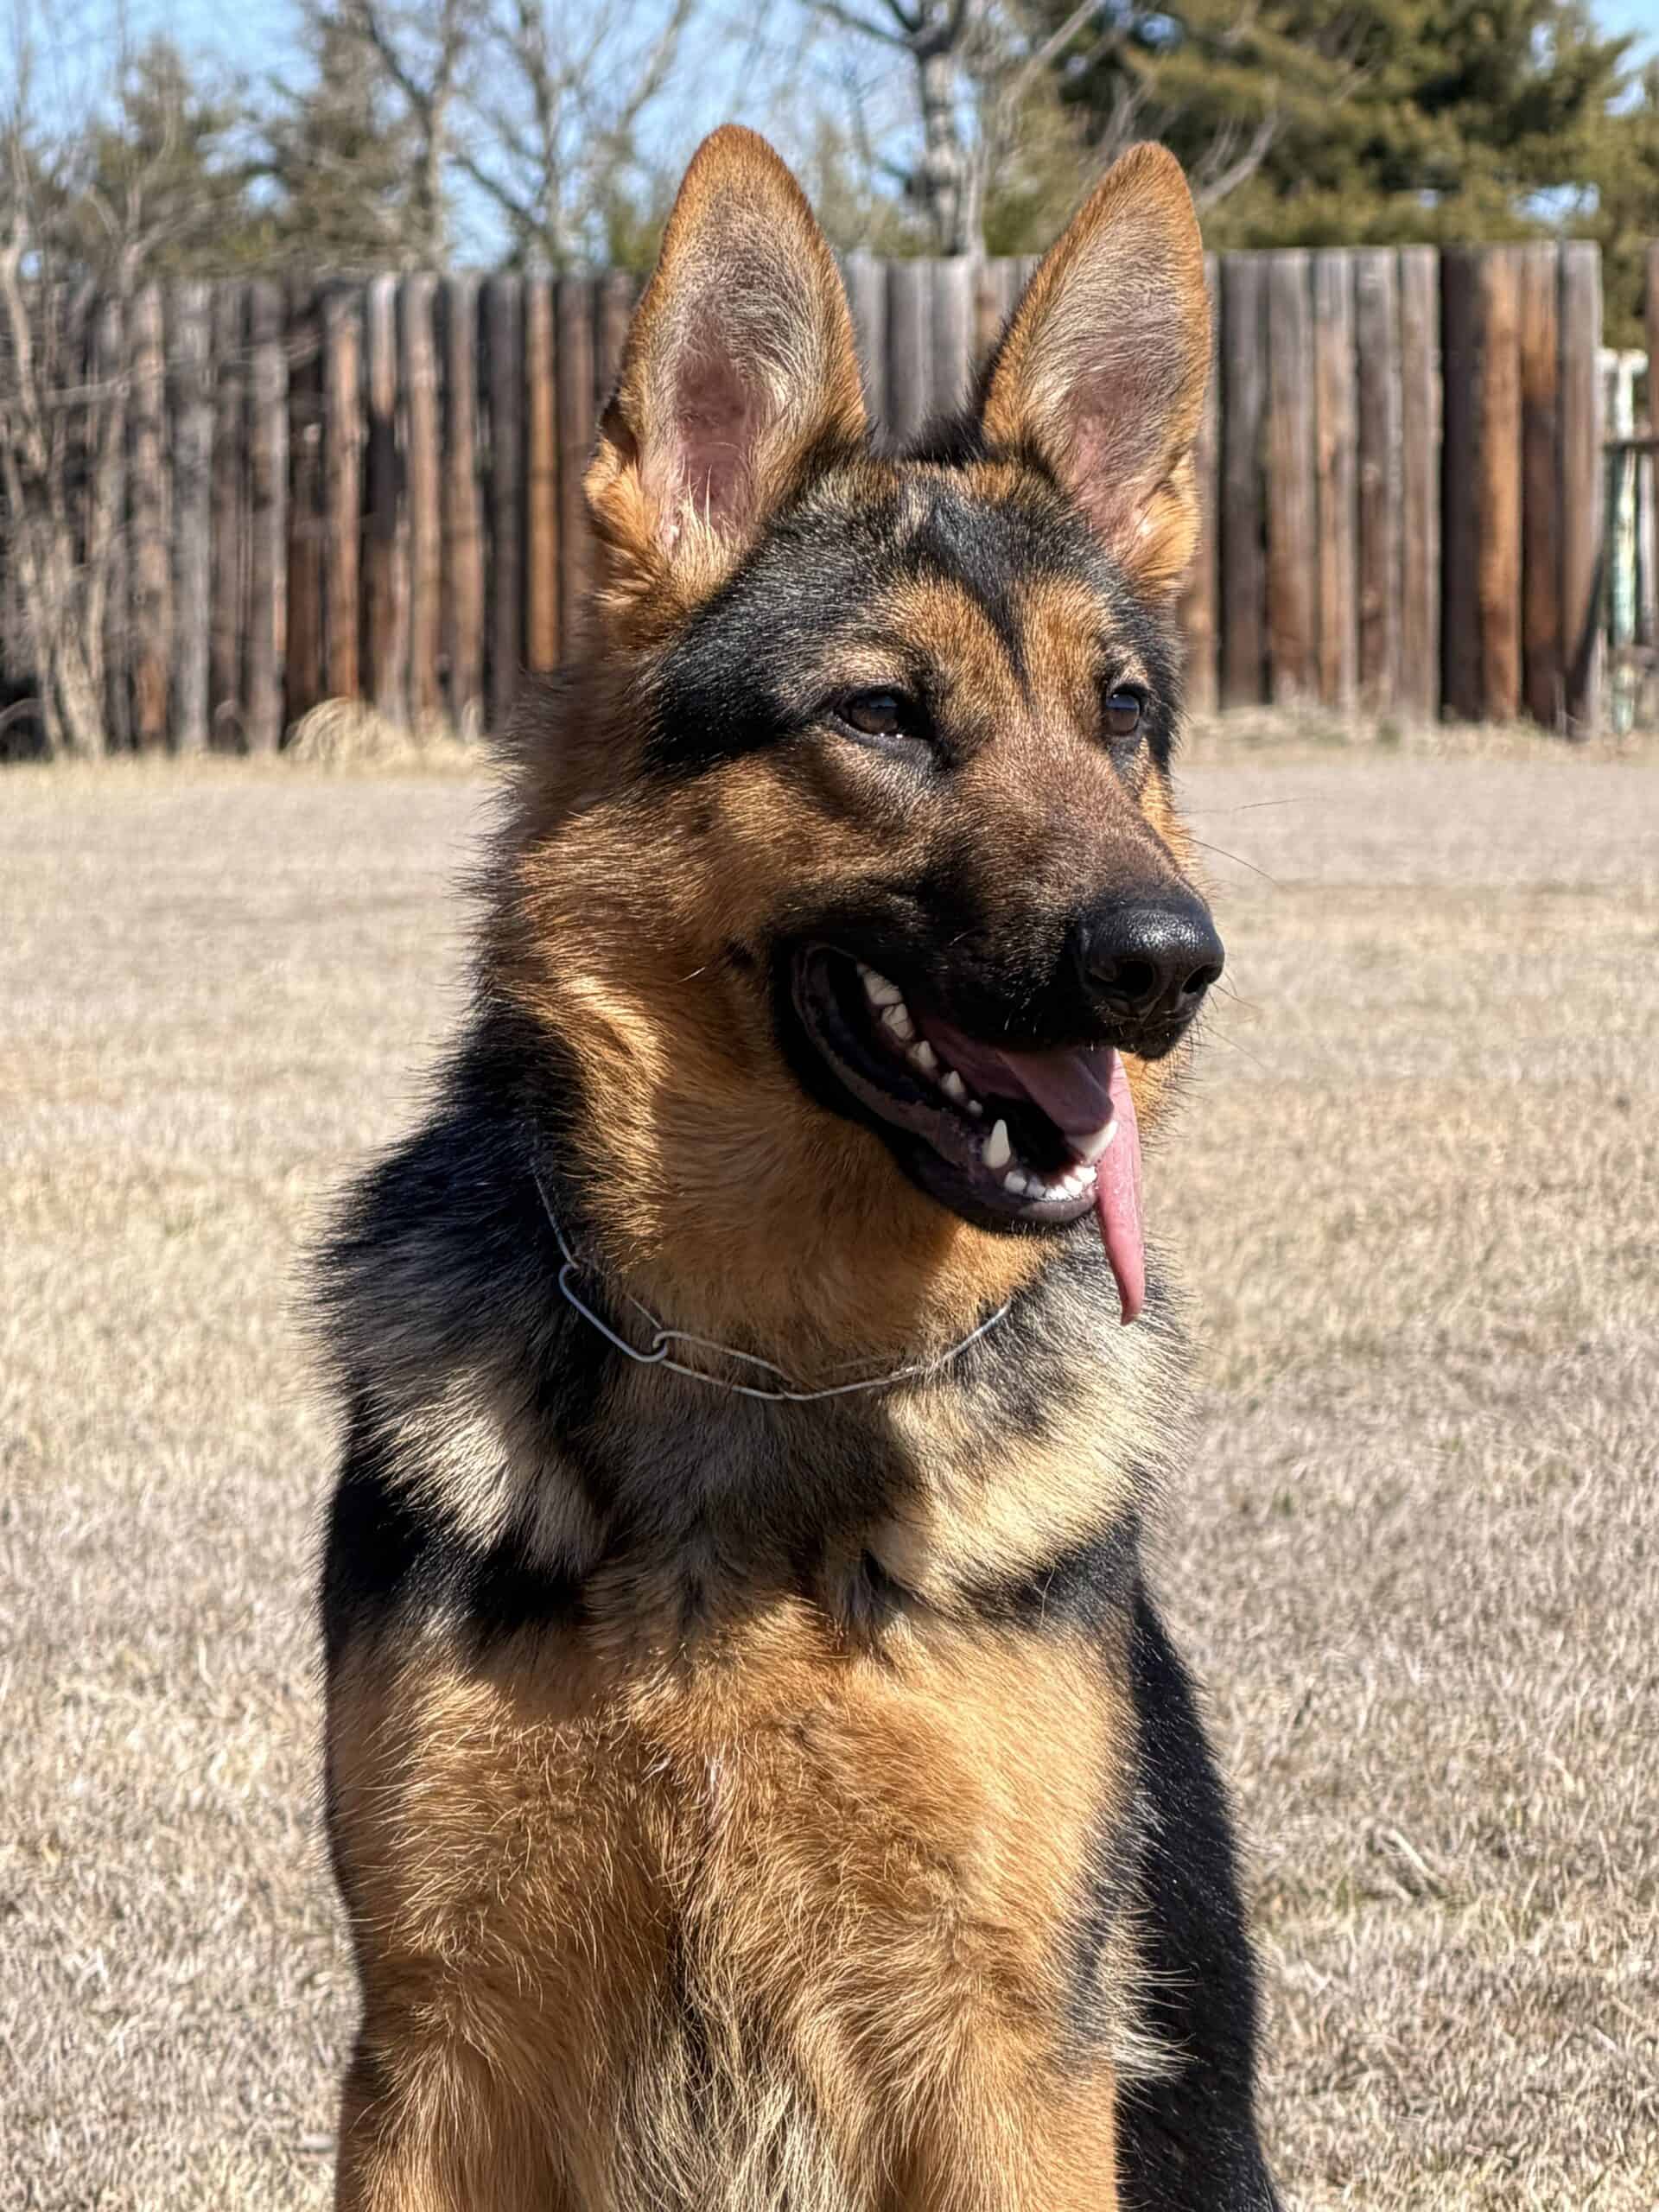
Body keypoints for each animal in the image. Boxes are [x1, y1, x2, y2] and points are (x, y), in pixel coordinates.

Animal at [315, 125, 1281, 2211]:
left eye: (1123, 713)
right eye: (883, 715)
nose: (1169, 966)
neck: (765, 1364)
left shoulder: (1006, 2064)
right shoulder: (434, 2052)